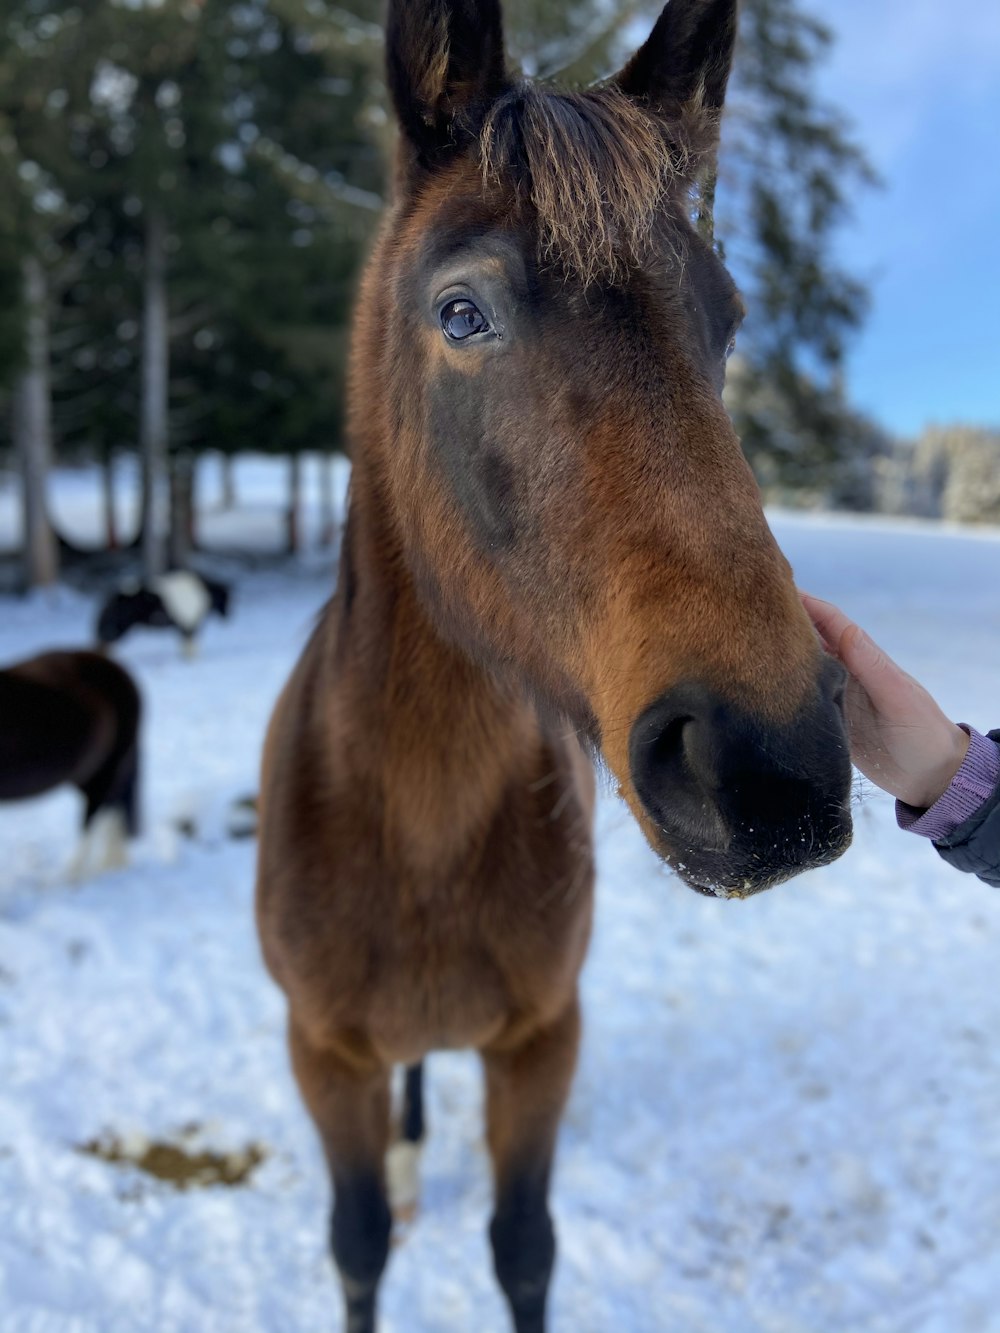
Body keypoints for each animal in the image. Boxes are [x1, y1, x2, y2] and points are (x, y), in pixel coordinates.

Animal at [96, 570, 232, 658]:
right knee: (105, 641)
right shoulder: (189, 625)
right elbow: (189, 647)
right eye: (227, 601)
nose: (228, 618)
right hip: (116, 627)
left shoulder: (185, 626)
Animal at [256, 2, 853, 1333]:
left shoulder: (540, 1045)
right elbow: (357, 1244)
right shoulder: (323, 1055)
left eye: (725, 319)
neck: (414, 827)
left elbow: (524, 1246)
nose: (768, 769)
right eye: (460, 312)